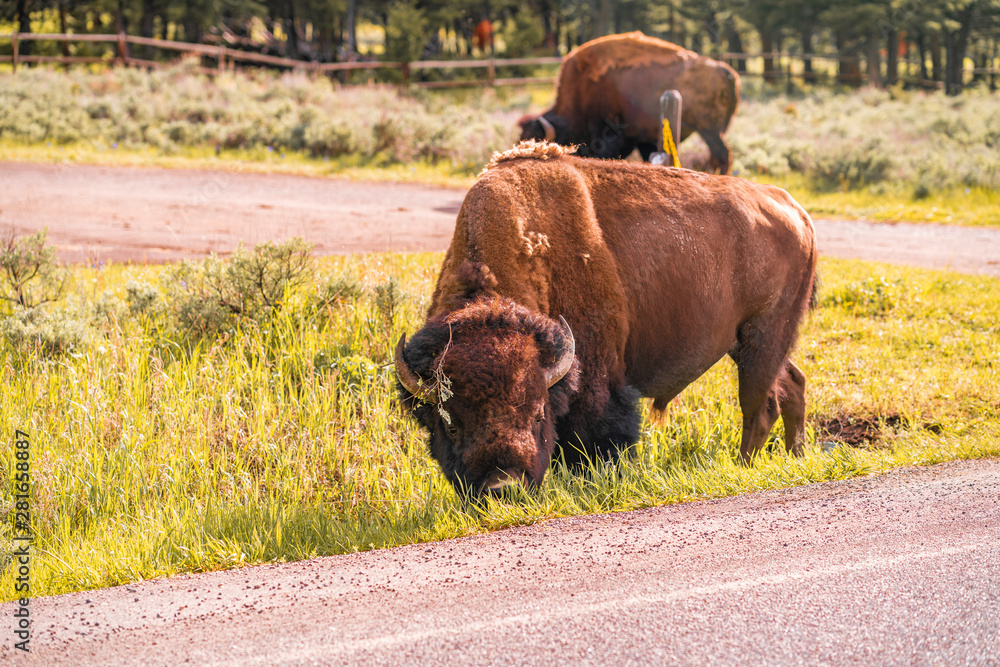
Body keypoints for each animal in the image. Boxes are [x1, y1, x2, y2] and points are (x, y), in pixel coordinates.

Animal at [394, 140, 816, 496]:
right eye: (451, 423)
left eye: (537, 413)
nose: (503, 487)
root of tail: (794, 209)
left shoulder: (599, 381)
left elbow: (599, 437)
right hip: (749, 343)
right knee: (791, 384)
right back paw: (795, 456)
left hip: (762, 336)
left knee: (758, 405)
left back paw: (745, 466)